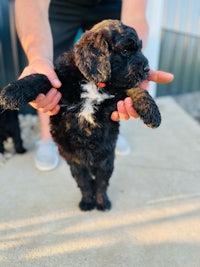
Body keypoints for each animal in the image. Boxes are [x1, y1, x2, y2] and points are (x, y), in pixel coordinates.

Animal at [0, 19, 161, 211]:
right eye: (125, 51)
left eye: (139, 49)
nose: (147, 69)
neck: (93, 82)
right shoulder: (60, 83)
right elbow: (41, 78)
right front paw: (12, 92)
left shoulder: (114, 98)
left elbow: (135, 89)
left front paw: (152, 113)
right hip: (76, 164)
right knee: (85, 183)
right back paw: (87, 202)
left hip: (106, 161)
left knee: (100, 182)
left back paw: (101, 202)